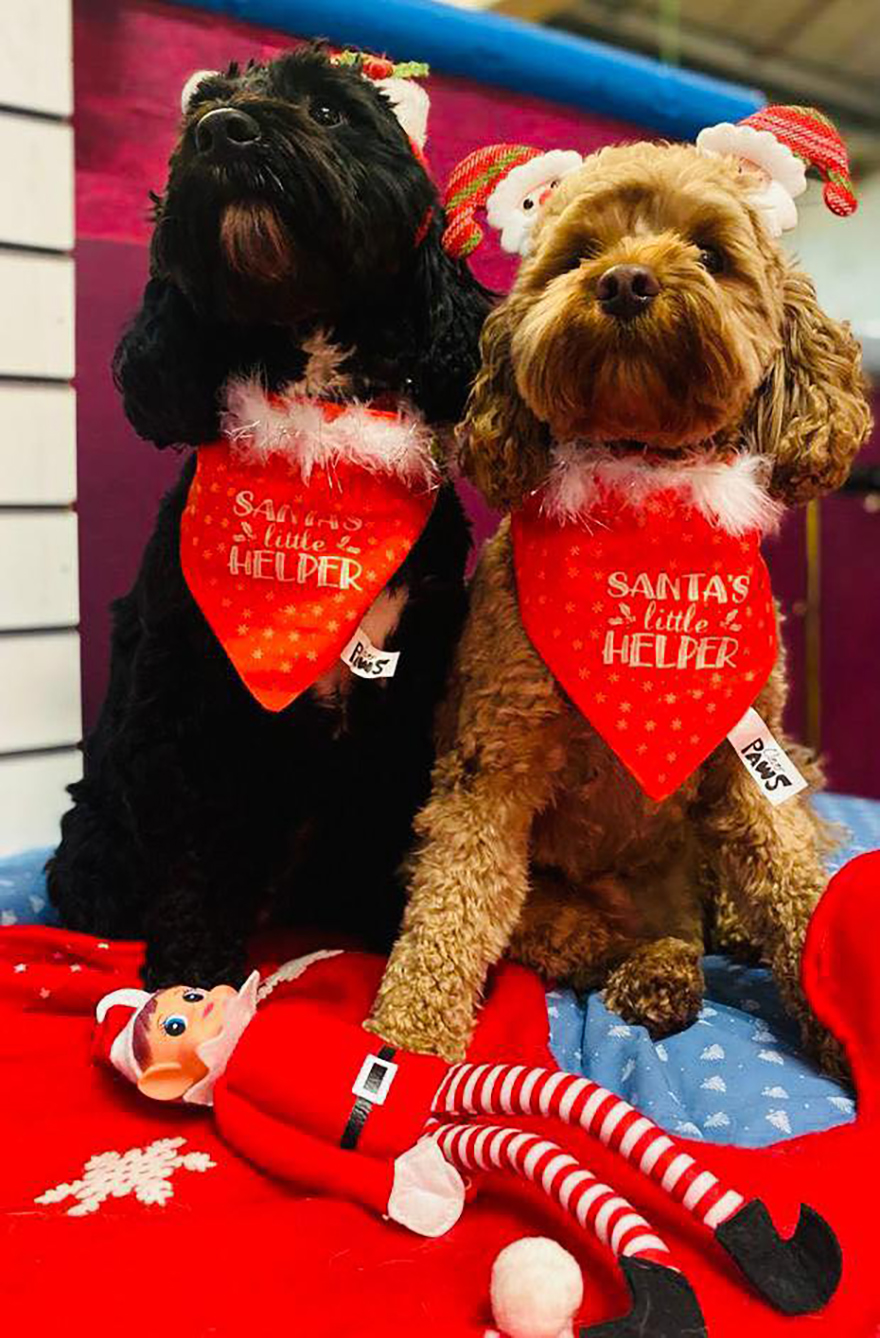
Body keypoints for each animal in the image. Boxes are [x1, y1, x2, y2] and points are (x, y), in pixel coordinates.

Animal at [48, 44, 489, 984]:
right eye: (200, 109)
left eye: (329, 111)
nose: (223, 131)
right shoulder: (189, 696)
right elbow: (194, 844)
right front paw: (192, 963)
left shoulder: (407, 692)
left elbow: (384, 821)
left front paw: (385, 929)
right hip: (96, 834)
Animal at [366, 141, 866, 1070]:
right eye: (577, 254)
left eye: (710, 251)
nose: (627, 281)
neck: (644, 501)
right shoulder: (493, 764)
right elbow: (454, 904)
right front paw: (405, 1041)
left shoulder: (747, 764)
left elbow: (793, 886)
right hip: (556, 905)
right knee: (604, 940)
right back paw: (660, 974)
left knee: (738, 892)